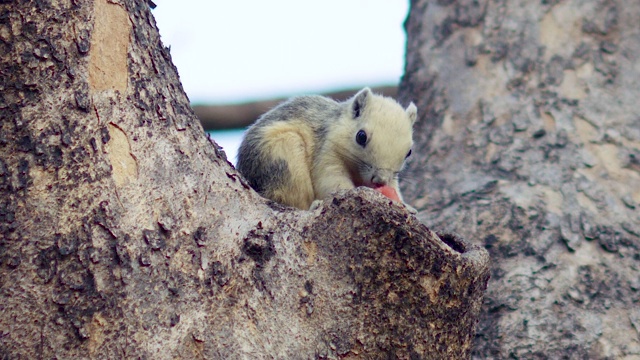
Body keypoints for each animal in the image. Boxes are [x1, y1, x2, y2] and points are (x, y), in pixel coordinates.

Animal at [235, 87, 416, 211]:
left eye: (409, 152)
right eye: (361, 136)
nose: (380, 180)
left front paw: (406, 206)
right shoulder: (327, 152)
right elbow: (331, 182)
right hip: (282, 156)